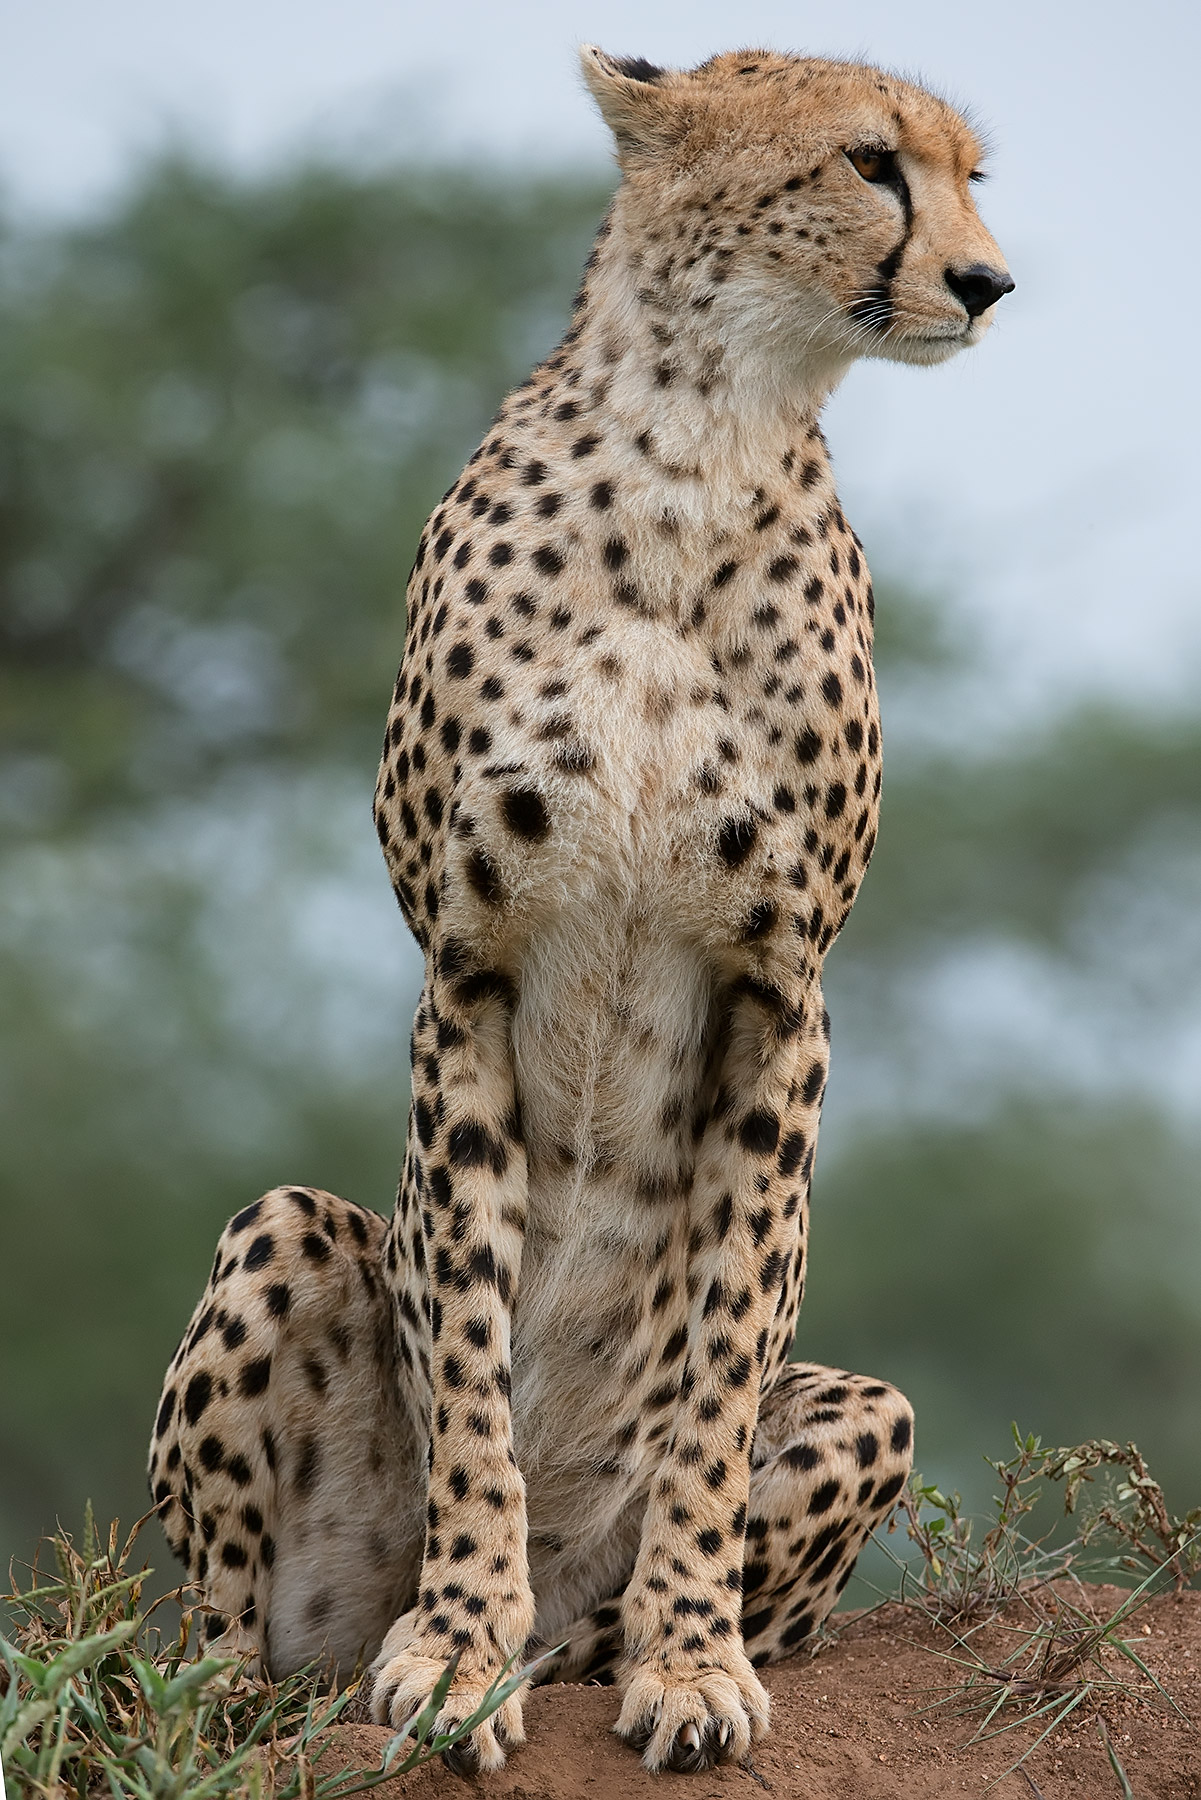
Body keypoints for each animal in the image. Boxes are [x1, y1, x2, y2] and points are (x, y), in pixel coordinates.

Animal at [148, 44, 1012, 1777]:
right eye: (871, 162)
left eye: (971, 177)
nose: (987, 283)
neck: (701, 439)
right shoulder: (467, 965)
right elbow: (474, 1361)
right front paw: (451, 1648)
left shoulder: (784, 987)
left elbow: (715, 1372)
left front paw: (686, 1662)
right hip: (283, 1253)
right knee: (213, 1651)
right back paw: (286, 1682)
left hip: (863, 1408)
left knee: (657, 1572)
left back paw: (592, 1640)